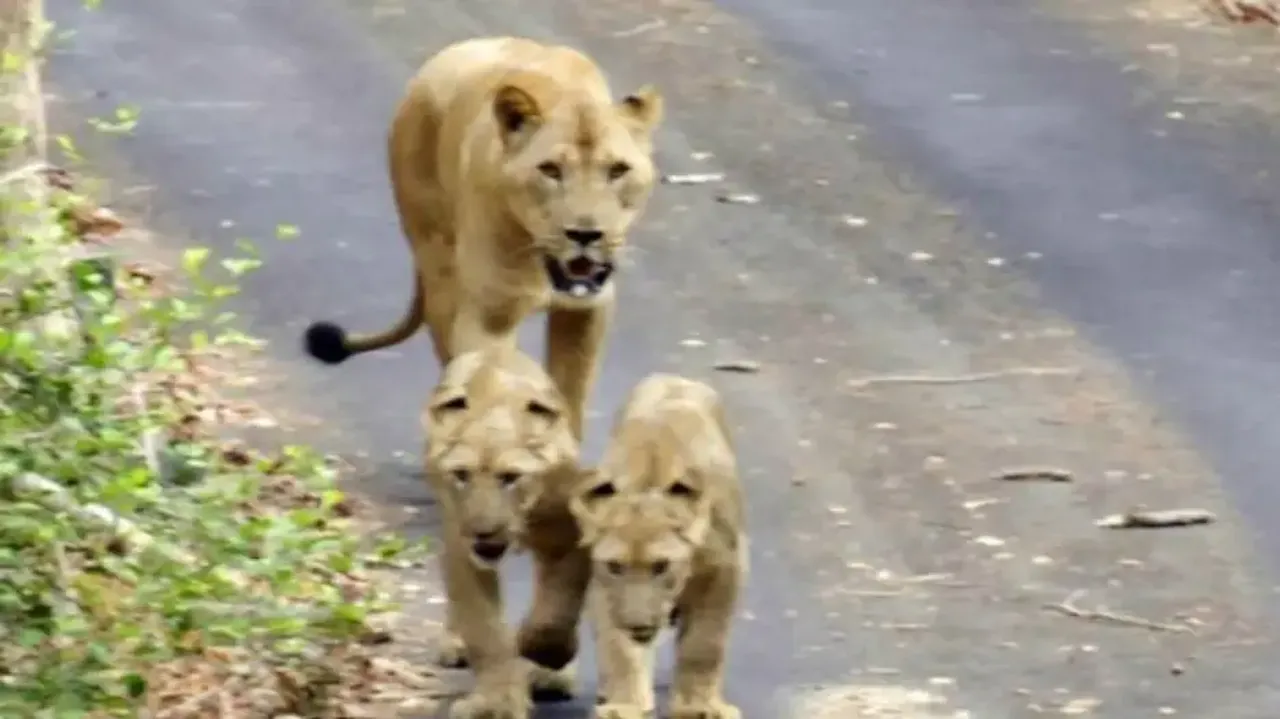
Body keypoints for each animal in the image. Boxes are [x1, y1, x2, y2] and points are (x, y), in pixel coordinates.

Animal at [302, 36, 665, 441]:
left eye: (618, 170)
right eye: (550, 170)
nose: (586, 234)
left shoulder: (588, 309)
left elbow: (570, 398)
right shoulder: (489, 317)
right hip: (440, 273)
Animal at [423, 345, 596, 719]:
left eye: (510, 478)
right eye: (462, 475)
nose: (483, 531)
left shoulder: (569, 533)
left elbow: (556, 613)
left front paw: (541, 655)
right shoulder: (461, 547)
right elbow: (484, 628)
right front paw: (496, 703)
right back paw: (455, 644)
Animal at [569, 374, 747, 719]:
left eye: (661, 566)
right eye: (615, 566)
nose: (638, 624)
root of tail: (676, 378)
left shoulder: (726, 569)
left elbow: (705, 642)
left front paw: (699, 706)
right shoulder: (603, 583)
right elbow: (618, 648)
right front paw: (623, 705)